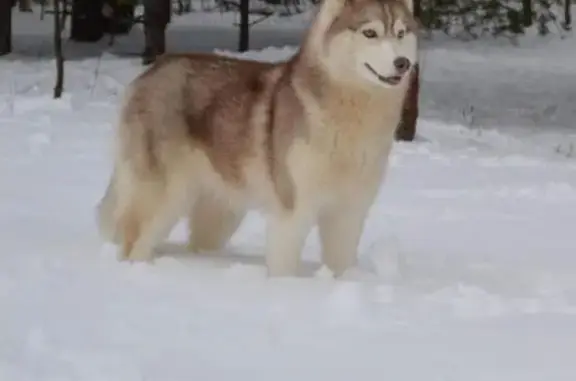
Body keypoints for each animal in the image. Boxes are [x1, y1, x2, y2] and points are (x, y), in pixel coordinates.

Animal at [95, 0, 418, 276]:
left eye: (401, 33)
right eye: (370, 33)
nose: (402, 63)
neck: (353, 113)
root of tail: (150, 72)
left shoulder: (349, 213)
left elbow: (341, 263)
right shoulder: (292, 210)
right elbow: (284, 266)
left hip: (219, 212)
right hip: (163, 195)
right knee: (132, 240)